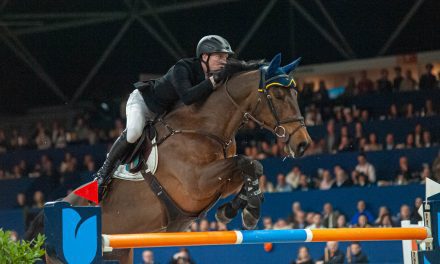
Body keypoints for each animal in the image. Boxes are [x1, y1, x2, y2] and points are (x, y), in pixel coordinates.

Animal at [25, 52, 312, 262]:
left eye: (296, 93)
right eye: (277, 95)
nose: (303, 144)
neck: (204, 127)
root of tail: (47, 215)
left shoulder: (220, 182)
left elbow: (252, 167)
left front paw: (238, 209)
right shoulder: (195, 185)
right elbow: (248, 162)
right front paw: (248, 210)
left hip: (120, 251)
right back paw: (99, 182)